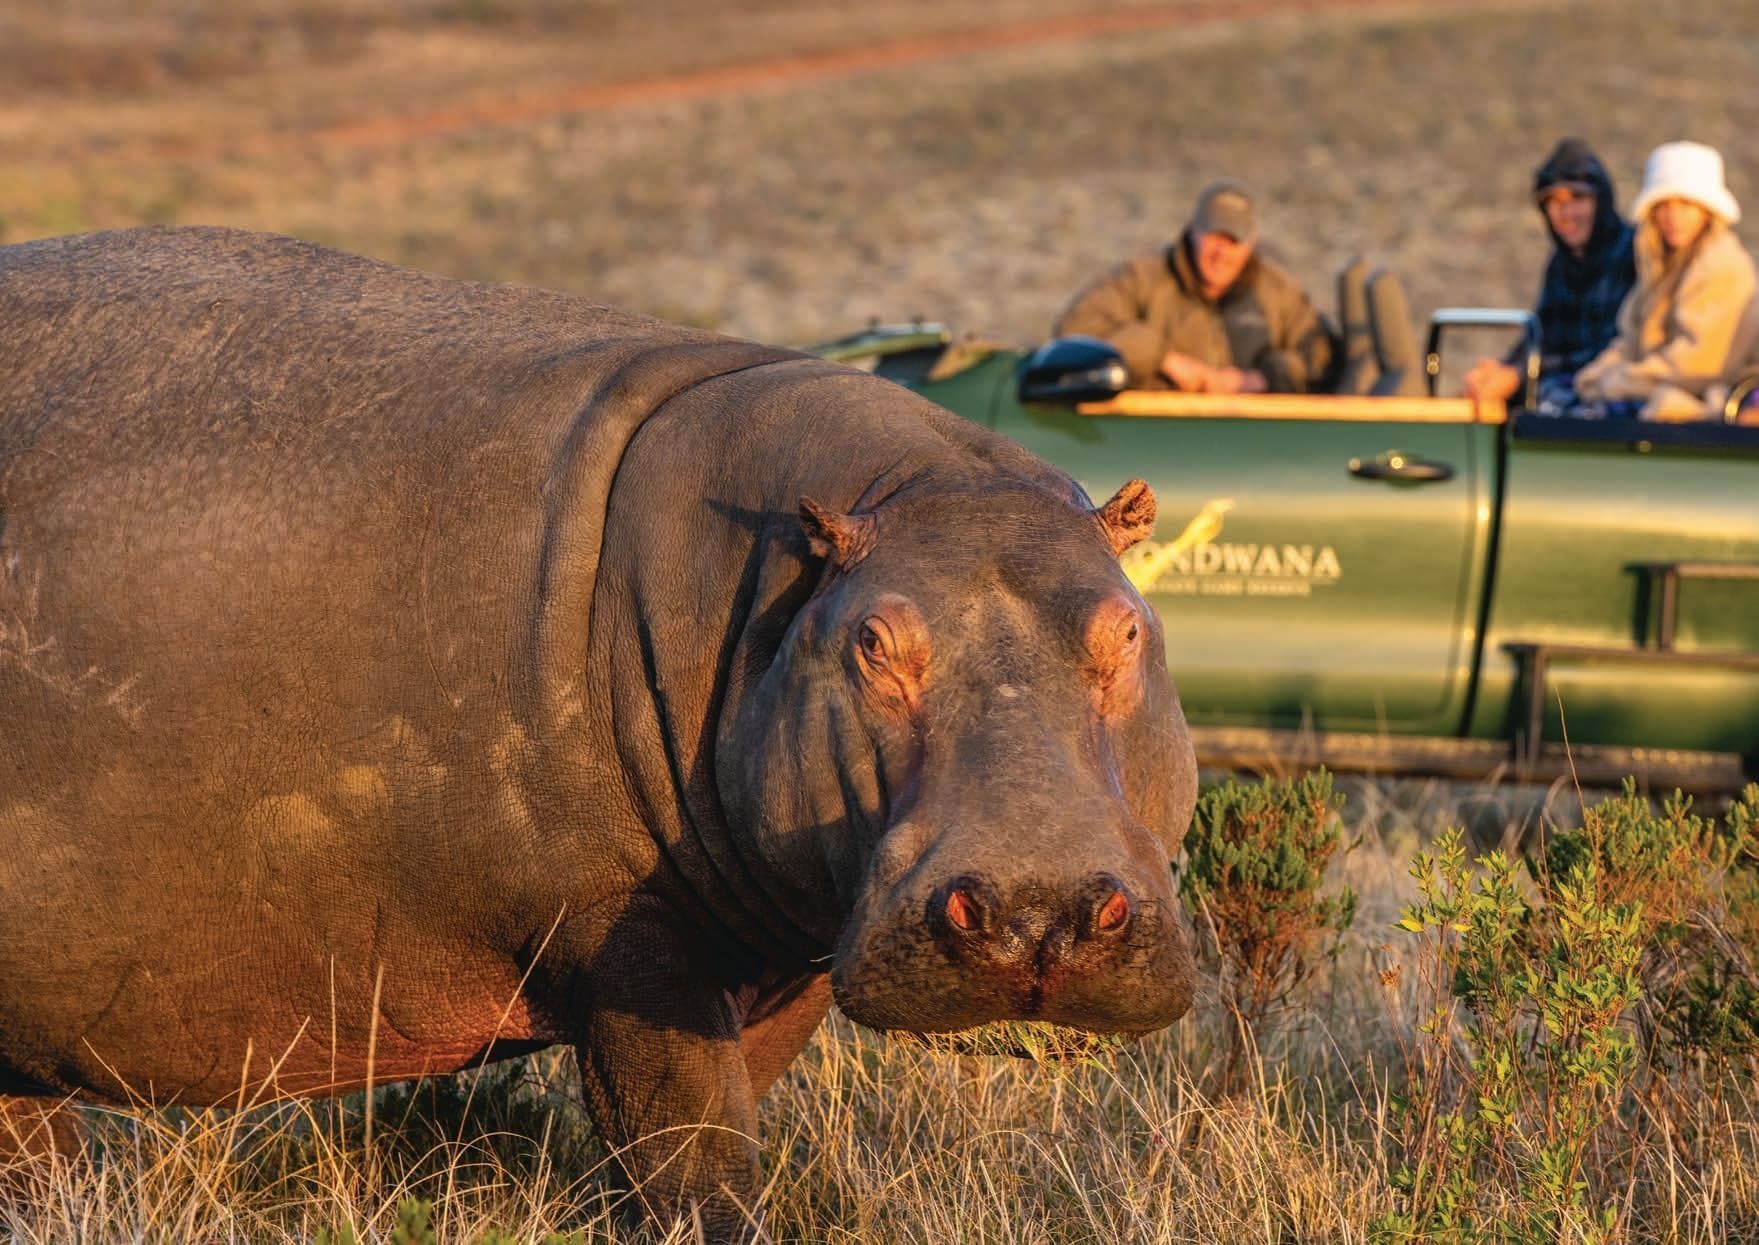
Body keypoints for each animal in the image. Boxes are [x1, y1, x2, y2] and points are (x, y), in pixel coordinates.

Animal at [0, 227, 1197, 1236]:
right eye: (870, 639)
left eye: (1128, 627)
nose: (1035, 912)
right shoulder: (635, 945)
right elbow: (693, 1158)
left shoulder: (780, 960)